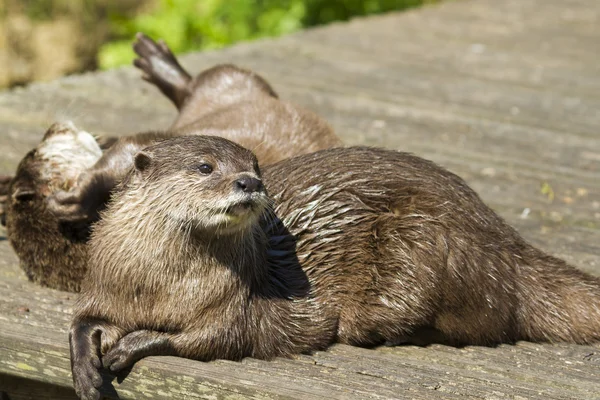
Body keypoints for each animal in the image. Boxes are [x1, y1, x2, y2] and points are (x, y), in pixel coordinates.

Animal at [48, 32, 340, 223]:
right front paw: (73, 199)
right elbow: (121, 155)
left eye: (255, 169)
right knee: (196, 83)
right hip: (234, 77)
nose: (247, 183)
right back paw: (155, 58)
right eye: (205, 168)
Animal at [70, 135, 600, 400]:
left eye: (254, 164)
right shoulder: (104, 286)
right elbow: (81, 320)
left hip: (426, 240)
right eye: (204, 167)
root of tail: (506, 240)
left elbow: (207, 339)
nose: (248, 182)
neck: (157, 287)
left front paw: (132, 344)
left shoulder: (233, 307)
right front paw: (86, 368)